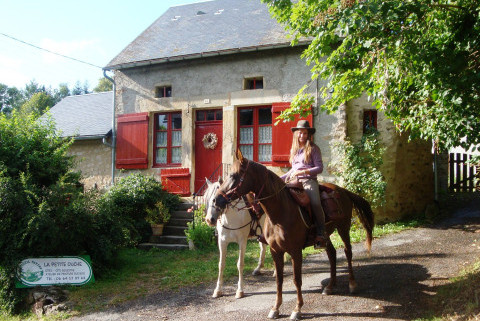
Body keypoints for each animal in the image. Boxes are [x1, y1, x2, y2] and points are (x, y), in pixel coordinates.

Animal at [206, 149, 376, 318]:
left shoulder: (295, 251)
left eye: (235, 175)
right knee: (332, 254)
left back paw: (352, 284)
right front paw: (275, 308)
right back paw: (329, 287)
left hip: (343, 228)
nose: (217, 201)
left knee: (348, 252)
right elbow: (279, 280)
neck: (281, 211)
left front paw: (297, 309)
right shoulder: (275, 250)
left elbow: (296, 279)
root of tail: (343, 190)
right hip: (326, 235)